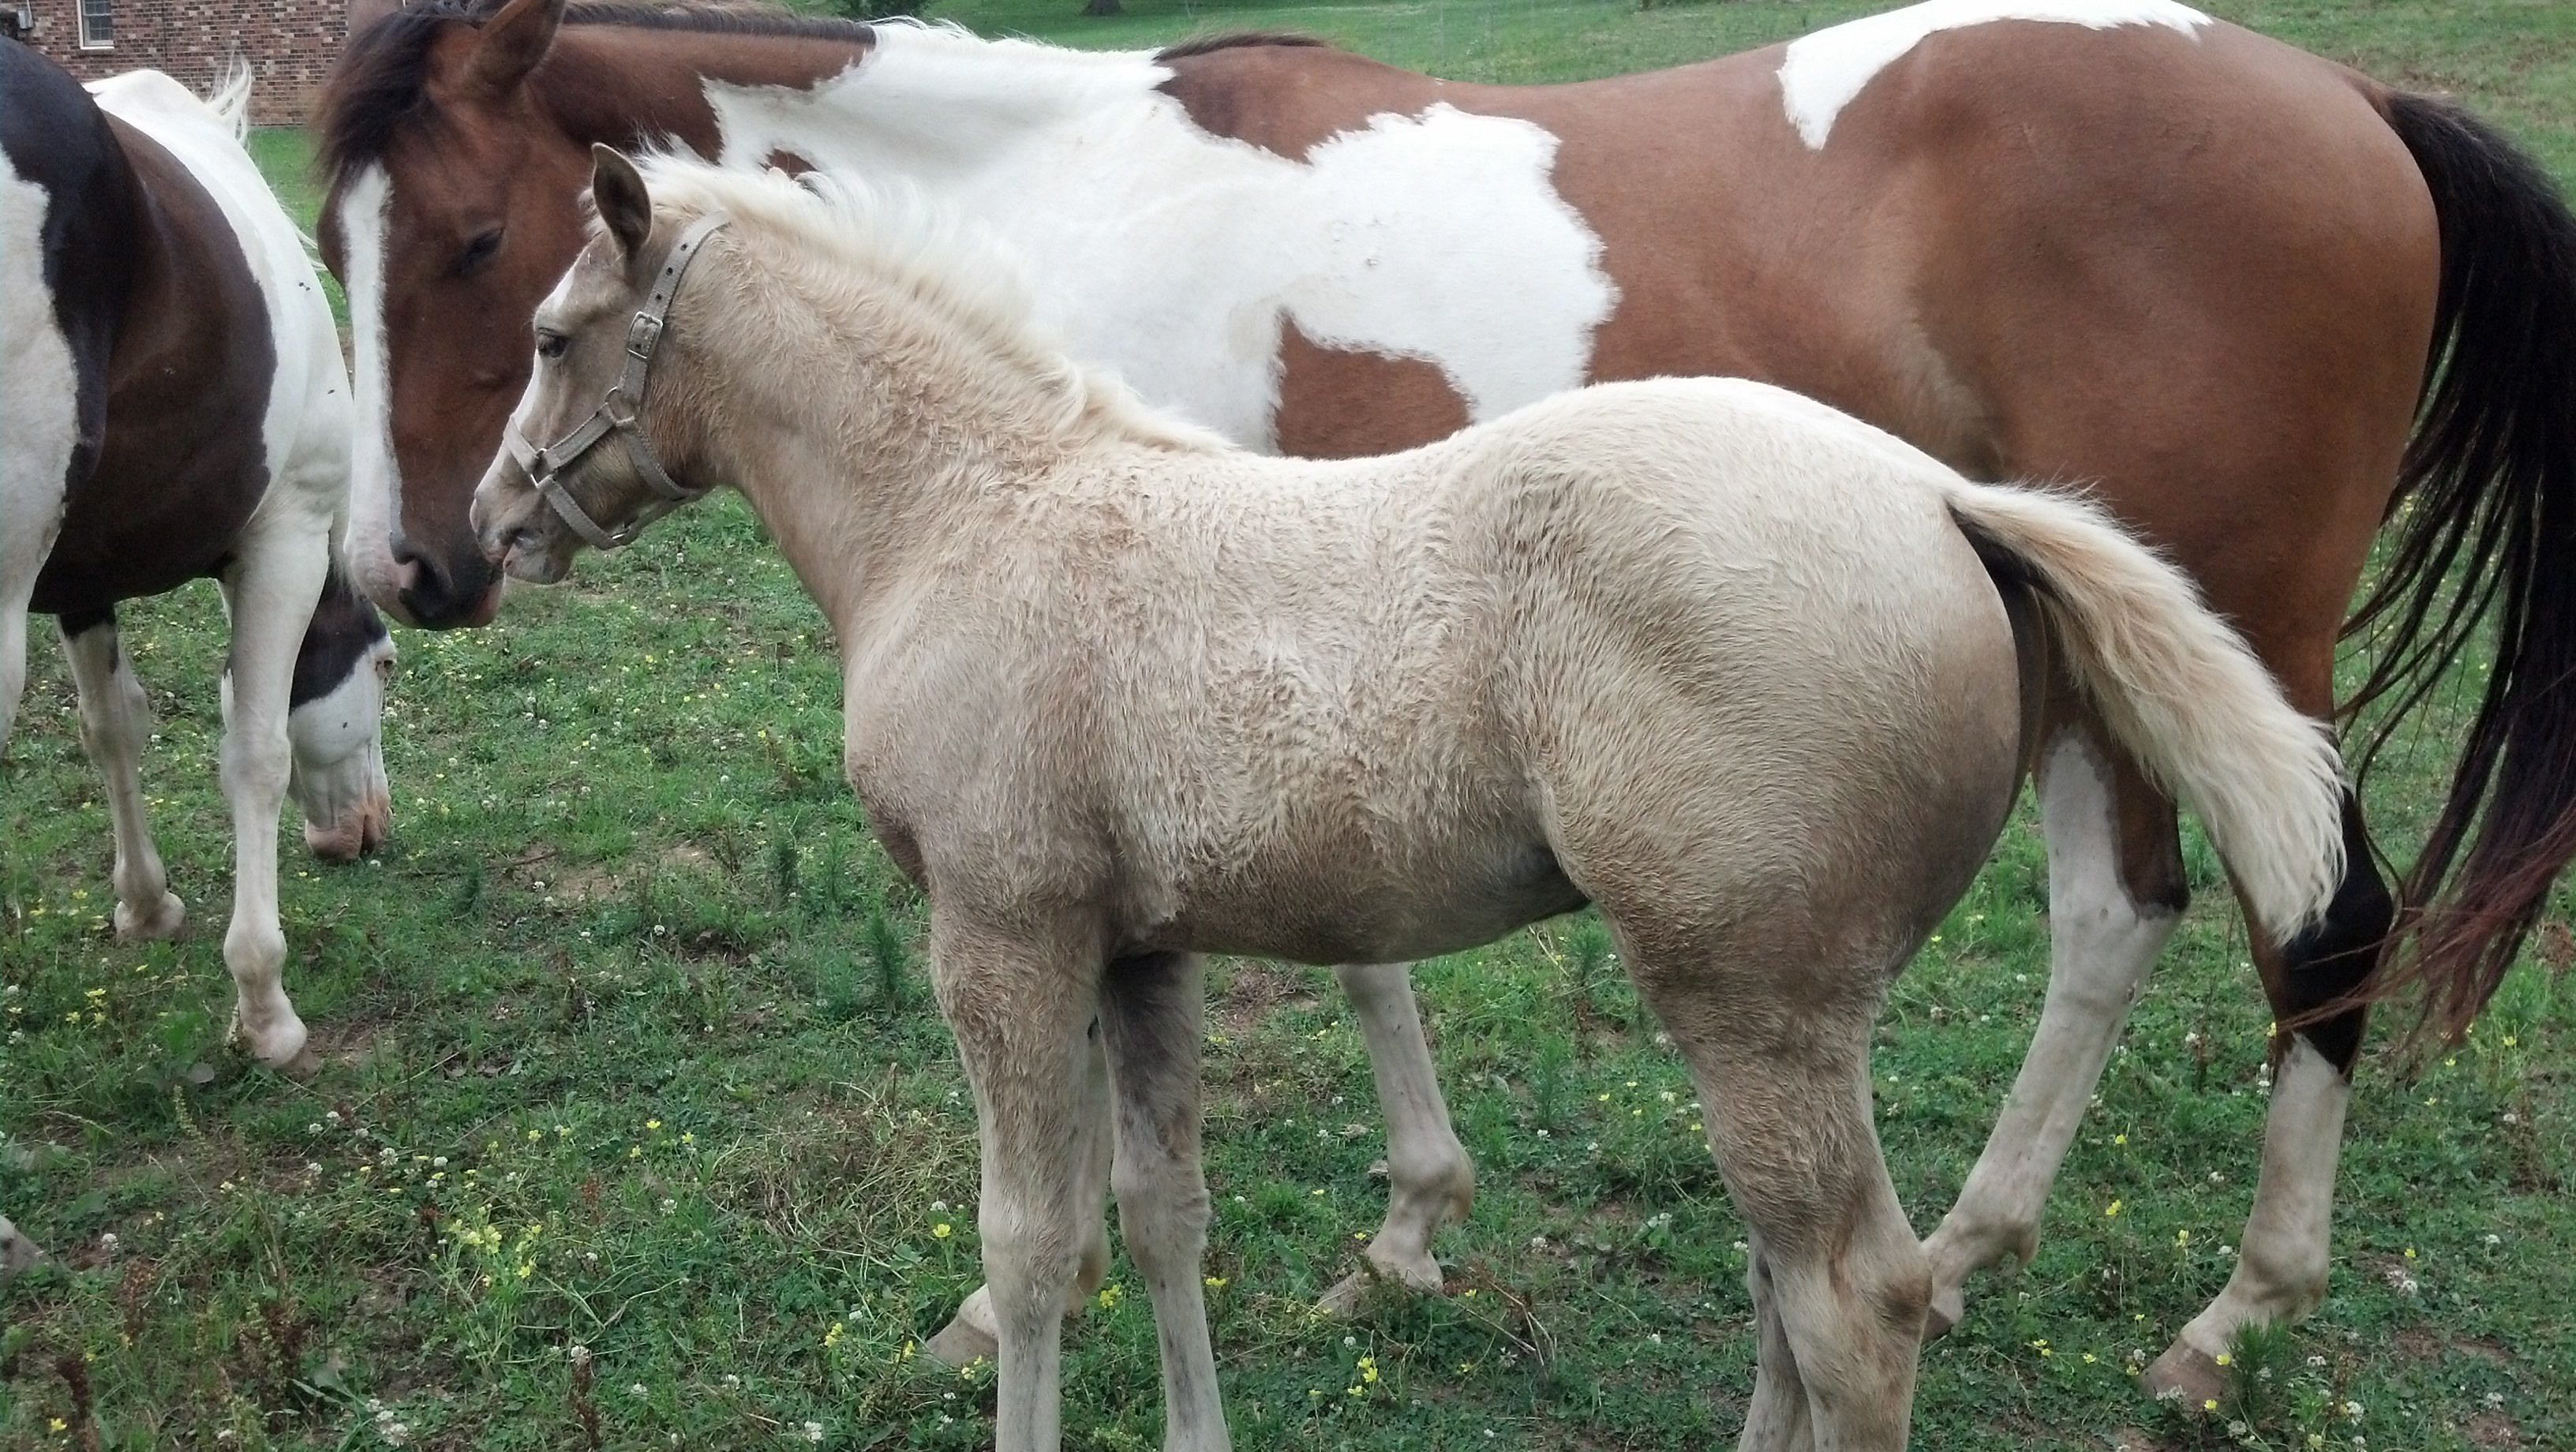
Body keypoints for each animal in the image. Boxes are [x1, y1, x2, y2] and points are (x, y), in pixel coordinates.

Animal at [1, 45, 394, 1090]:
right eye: (385, 667)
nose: (367, 831)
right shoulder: (285, 536)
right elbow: (255, 756)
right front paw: (264, 1008)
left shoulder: (82, 576)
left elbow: (112, 730)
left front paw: (144, 903)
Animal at [314, 0, 2576, 1395]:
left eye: (478, 248)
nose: (420, 570)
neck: (1059, 201)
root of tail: (2357, 104)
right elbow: (1339, 967)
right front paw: (1409, 1223)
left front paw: (1317, 1239)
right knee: (2115, 917)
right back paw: (1986, 1237)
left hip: (2247, 623)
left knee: (2320, 919)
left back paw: (2231, 1308)